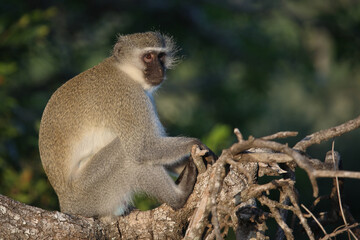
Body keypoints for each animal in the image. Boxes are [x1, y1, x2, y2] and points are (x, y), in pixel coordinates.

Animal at [38, 31, 214, 217]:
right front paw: (195, 144)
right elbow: (143, 148)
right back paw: (178, 197)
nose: (160, 69)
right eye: (148, 57)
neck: (125, 71)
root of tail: (65, 204)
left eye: (160, 56)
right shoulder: (128, 96)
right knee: (128, 156)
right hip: (87, 194)